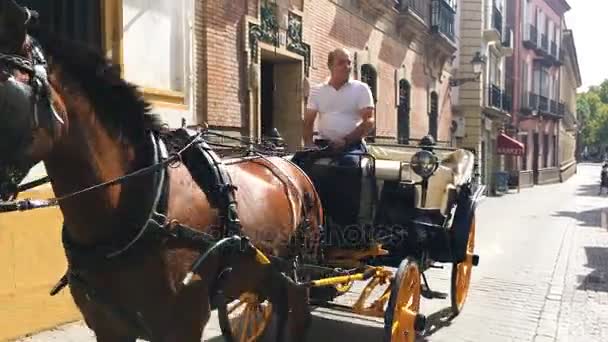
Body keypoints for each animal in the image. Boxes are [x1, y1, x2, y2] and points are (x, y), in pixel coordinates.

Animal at [0, 1, 324, 340]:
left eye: (5, 99)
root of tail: (289, 164)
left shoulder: (182, 326)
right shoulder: (108, 326)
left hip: (301, 272)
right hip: (268, 273)